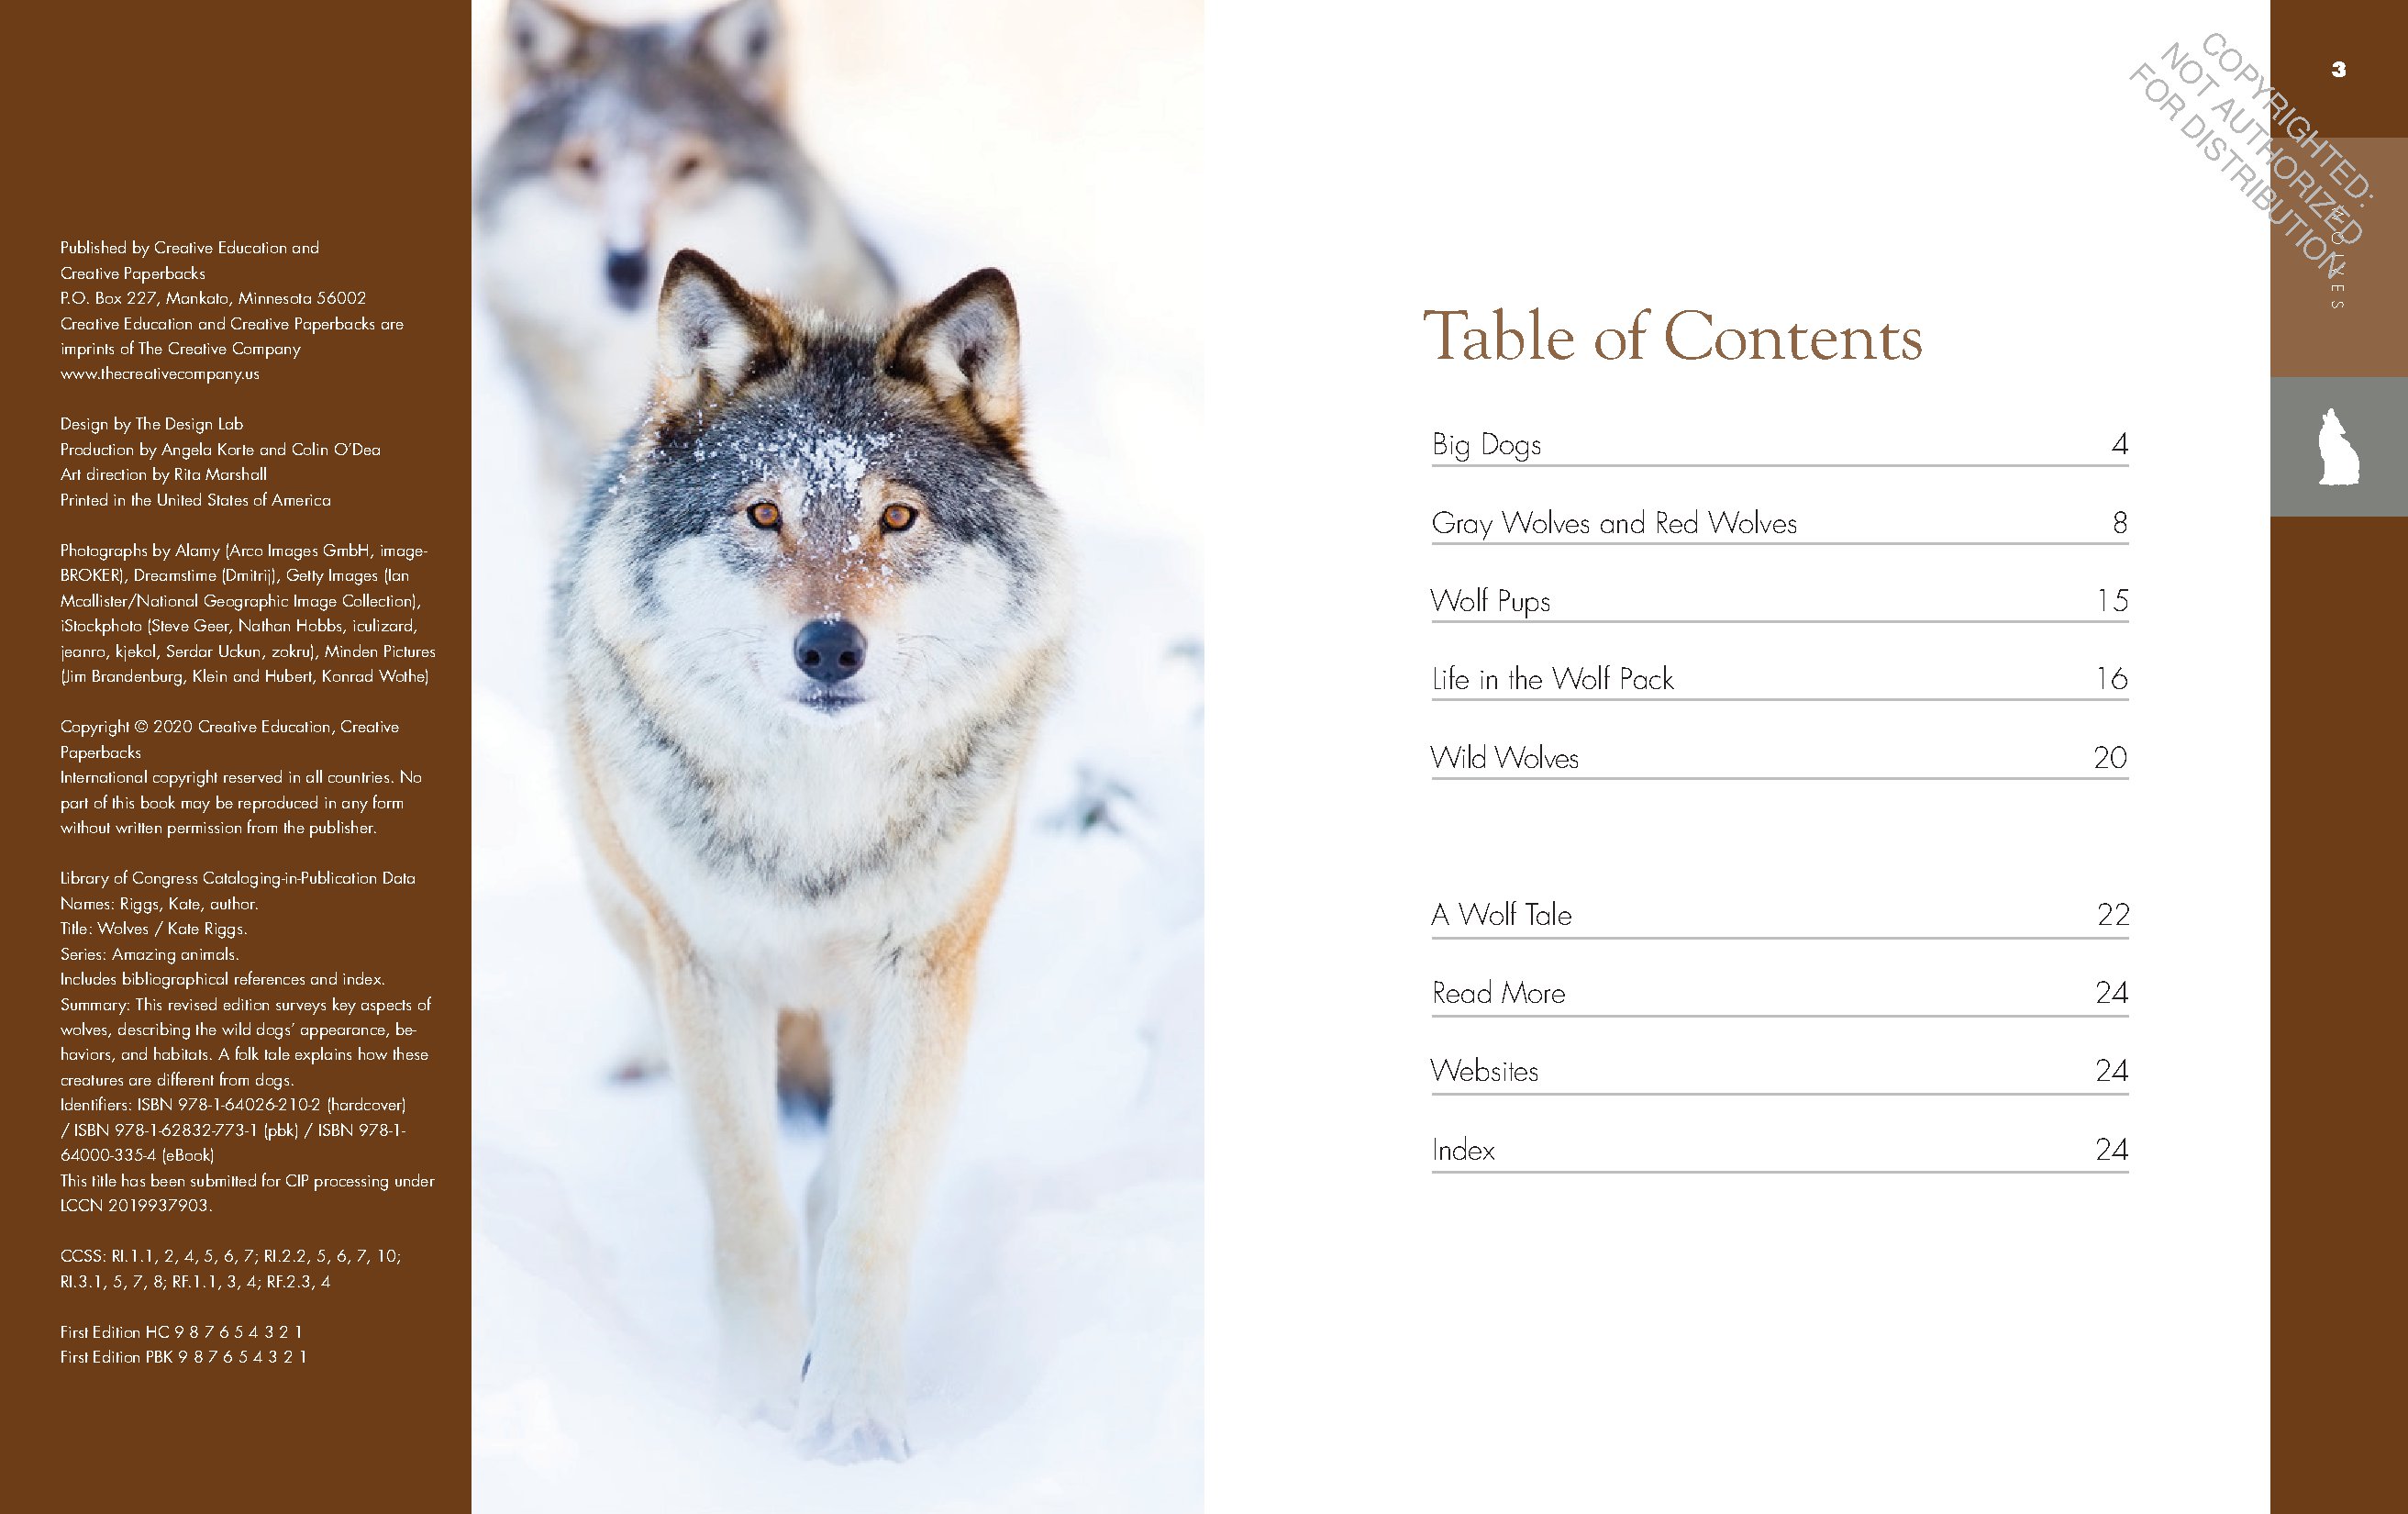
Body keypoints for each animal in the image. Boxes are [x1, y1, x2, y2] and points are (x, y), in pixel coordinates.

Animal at [555, 249, 1071, 1460]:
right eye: (763, 513)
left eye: (897, 516)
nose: (830, 647)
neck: (819, 816)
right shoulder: (707, 973)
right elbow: (746, 1205)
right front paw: (751, 1406)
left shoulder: (924, 975)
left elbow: (867, 1207)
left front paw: (849, 1423)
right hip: (627, 906)